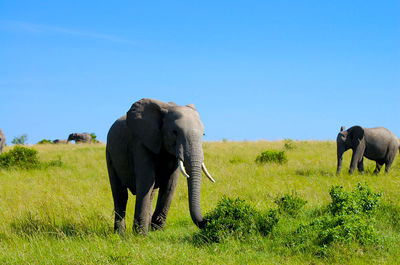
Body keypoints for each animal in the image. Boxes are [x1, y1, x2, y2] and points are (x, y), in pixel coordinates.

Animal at [104, 98, 214, 234]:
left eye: (203, 134)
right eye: (175, 132)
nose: (207, 220)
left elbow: (170, 184)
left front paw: (156, 231)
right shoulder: (141, 142)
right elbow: (146, 180)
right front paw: (140, 235)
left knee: (150, 193)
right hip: (109, 153)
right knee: (120, 195)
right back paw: (120, 234)